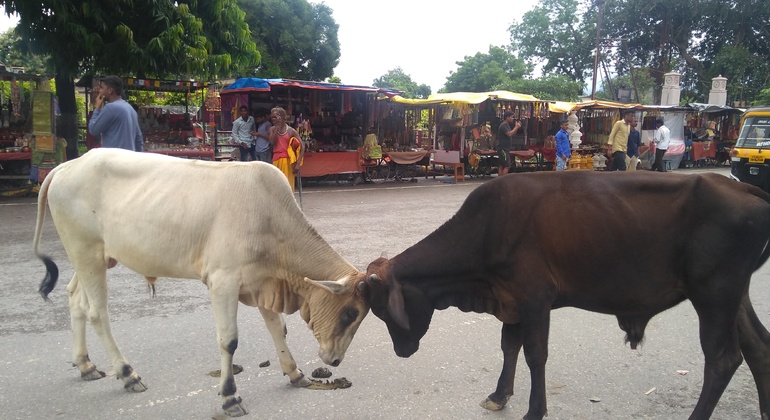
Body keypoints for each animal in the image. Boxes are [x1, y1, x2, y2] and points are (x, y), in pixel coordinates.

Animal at [34, 148, 370, 416]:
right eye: (349, 313)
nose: (335, 360)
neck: (271, 219)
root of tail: (67, 166)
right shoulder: (223, 281)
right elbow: (229, 341)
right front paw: (230, 397)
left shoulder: (261, 281)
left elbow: (278, 328)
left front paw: (295, 372)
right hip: (85, 252)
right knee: (97, 313)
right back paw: (128, 373)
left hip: (94, 258)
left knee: (75, 300)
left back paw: (85, 365)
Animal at [364, 171, 768, 420]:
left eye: (383, 310)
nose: (402, 351)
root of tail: (742, 187)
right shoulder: (511, 301)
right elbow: (509, 347)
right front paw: (499, 396)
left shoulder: (535, 298)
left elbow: (534, 355)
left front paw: (534, 410)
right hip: (734, 296)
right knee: (758, 347)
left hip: (714, 294)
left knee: (722, 360)